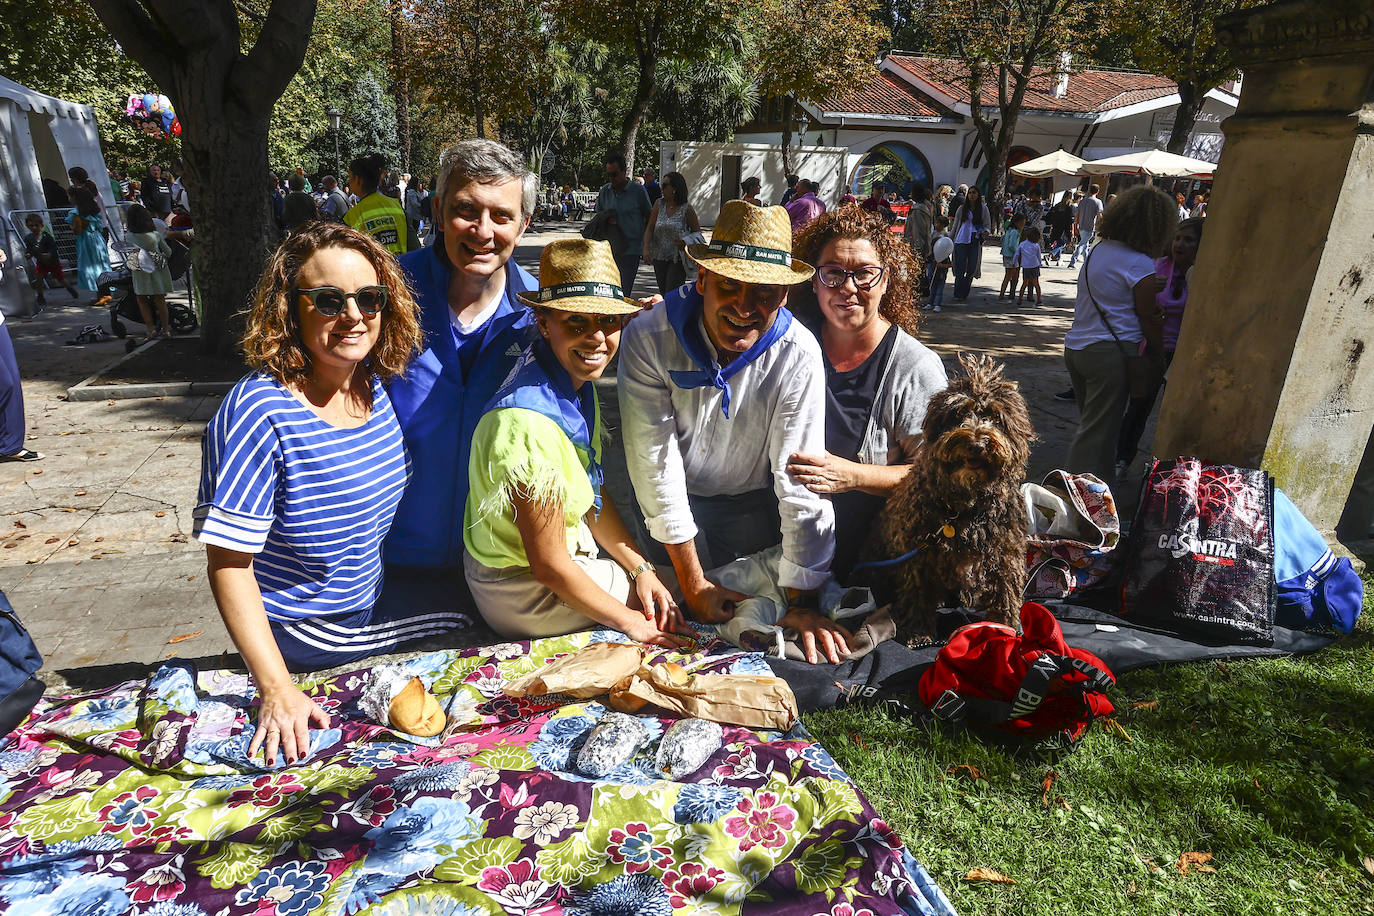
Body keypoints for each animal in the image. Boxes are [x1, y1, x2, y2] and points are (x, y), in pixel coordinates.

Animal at [851, 351, 1033, 645]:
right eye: (959, 414)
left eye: (995, 417)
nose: (977, 444)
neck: (966, 508)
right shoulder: (918, 556)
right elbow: (918, 594)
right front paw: (918, 633)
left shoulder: (1006, 554)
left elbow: (1005, 593)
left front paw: (1005, 630)